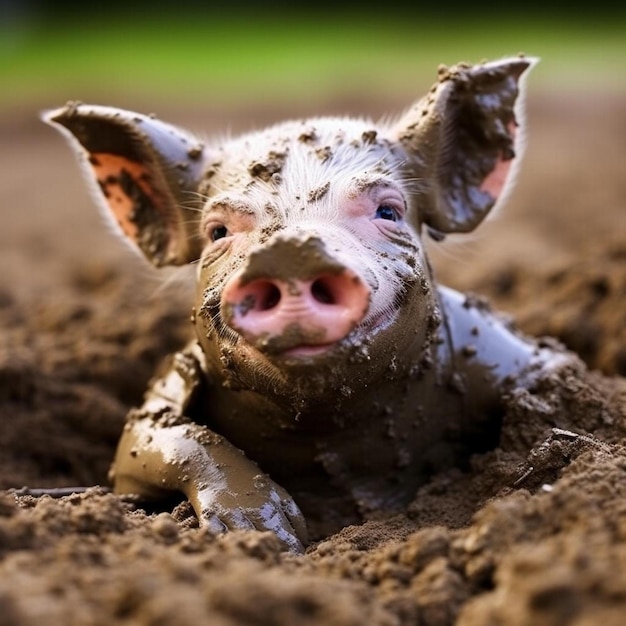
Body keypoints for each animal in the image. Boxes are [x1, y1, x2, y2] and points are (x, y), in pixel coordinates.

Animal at [44, 56, 572, 548]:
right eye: (217, 231)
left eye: (389, 211)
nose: (291, 251)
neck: (332, 434)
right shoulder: (164, 391)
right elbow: (151, 437)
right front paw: (266, 535)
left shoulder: (497, 351)